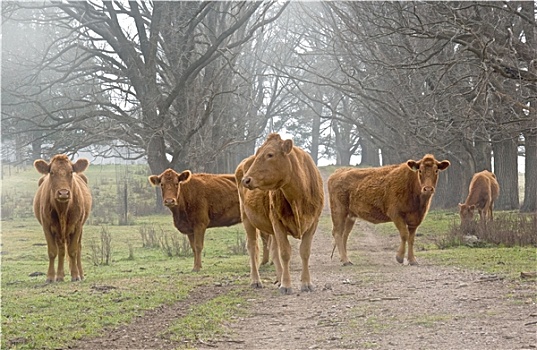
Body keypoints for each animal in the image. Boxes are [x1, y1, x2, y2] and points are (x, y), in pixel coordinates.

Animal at [33, 154, 92, 284]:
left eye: (70, 172)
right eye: (52, 172)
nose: (63, 193)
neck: (62, 210)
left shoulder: (77, 225)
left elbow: (73, 250)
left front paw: (75, 276)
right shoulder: (47, 226)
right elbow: (52, 252)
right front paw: (50, 277)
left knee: (77, 248)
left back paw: (80, 274)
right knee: (61, 250)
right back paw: (60, 276)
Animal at [238, 134, 322, 296]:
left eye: (270, 154)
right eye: (258, 154)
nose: (246, 179)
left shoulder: (313, 224)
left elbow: (305, 252)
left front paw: (306, 283)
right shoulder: (278, 223)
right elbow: (285, 253)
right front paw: (286, 285)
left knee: (273, 249)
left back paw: (279, 278)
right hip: (247, 219)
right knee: (252, 247)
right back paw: (256, 281)